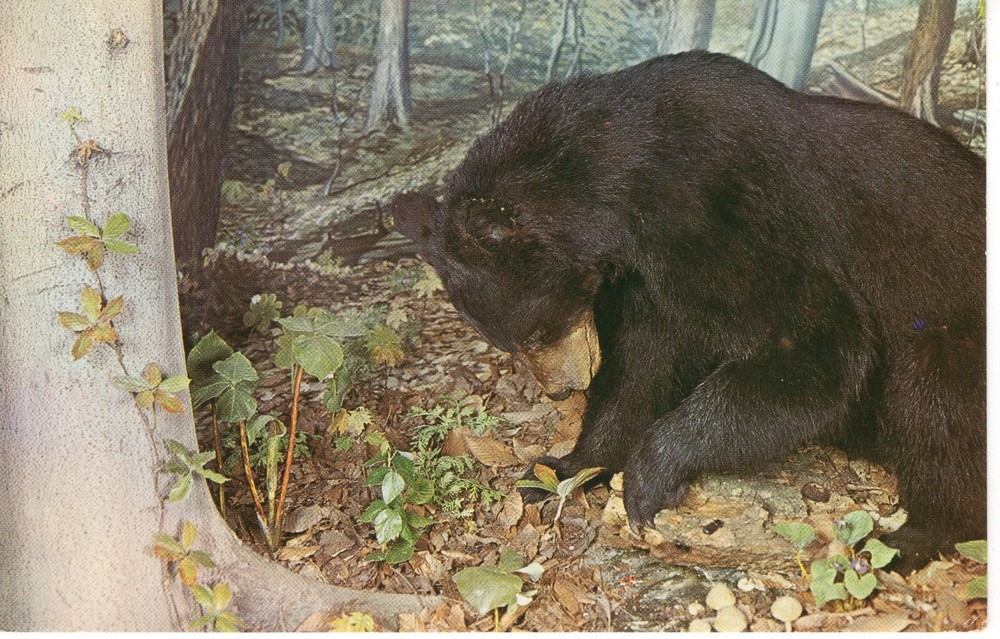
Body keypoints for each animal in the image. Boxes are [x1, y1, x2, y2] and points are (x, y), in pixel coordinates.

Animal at [391, 51, 985, 571]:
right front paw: (563, 468)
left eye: (538, 329)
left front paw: (649, 474)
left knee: (936, 394)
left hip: (953, 327)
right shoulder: (650, 274)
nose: (560, 392)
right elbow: (642, 364)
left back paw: (910, 535)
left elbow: (817, 339)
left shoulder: (723, 217)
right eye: (507, 342)